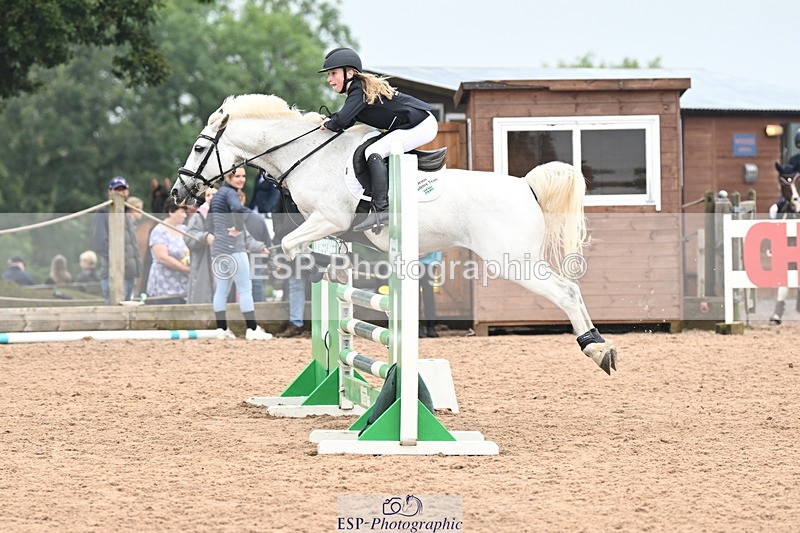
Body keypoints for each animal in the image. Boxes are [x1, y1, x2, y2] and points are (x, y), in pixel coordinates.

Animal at [171, 94, 617, 374]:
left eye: (199, 149)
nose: (179, 192)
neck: (306, 156)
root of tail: (526, 186)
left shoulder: (330, 218)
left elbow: (289, 245)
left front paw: (315, 270)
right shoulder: (333, 227)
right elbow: (314, 253)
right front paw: (329, 274)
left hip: (515, 262)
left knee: (567, 292)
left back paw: (596, 348)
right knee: (570, 291)